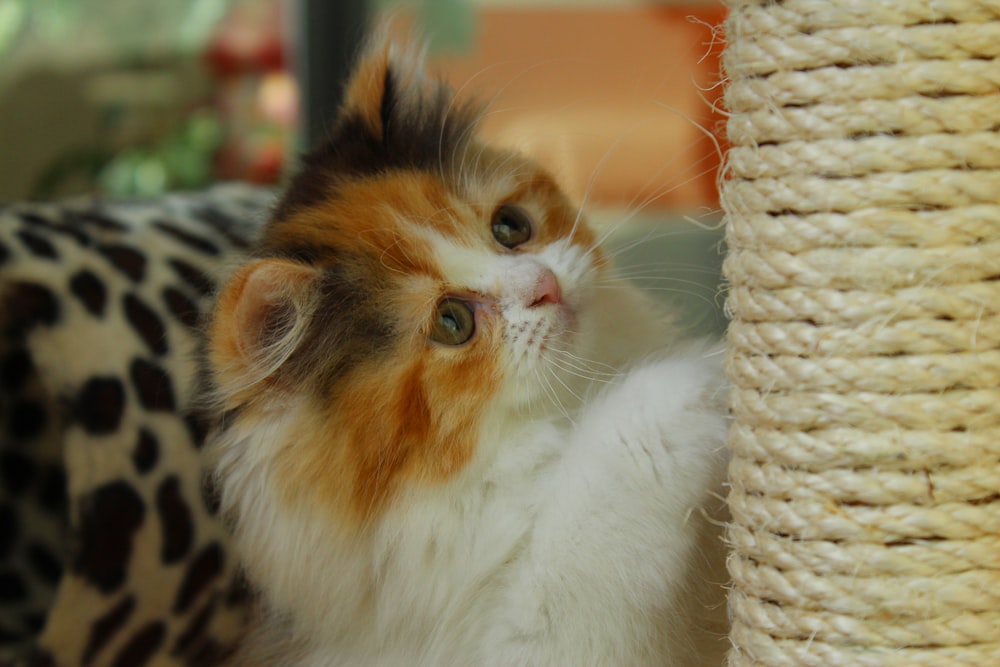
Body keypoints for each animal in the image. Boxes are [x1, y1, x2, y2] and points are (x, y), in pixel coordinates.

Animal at [207, 34, 732, 667]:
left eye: (510, 227)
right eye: (451, 322)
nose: (545, 285)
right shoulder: (524, 642)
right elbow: (603, 484)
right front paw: (704, 373)